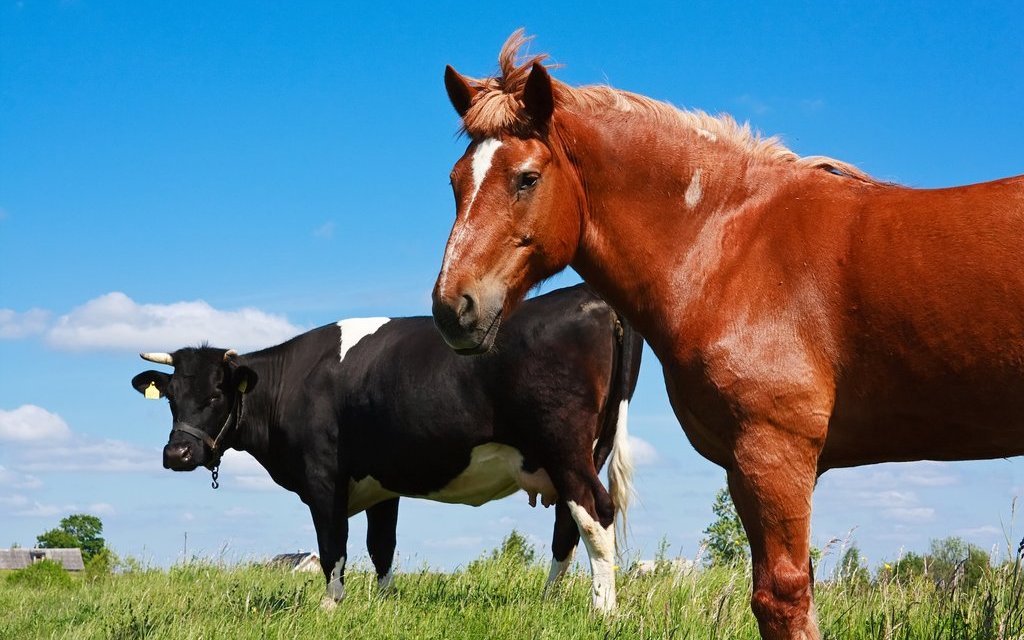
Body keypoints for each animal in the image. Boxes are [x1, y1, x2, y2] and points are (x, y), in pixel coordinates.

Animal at [131, 284, 642, 610]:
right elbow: (382, 546)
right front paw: (385, 603)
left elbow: (333, 544)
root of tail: (594, 298)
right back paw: (548, 602)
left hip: (565, 447)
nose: (177, 455)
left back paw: (602, 611)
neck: (292, 381)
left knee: (595, 513)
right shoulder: (382, 484)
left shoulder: (323, 480)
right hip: (584, 450)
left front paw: (331, 606)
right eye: (172, 397)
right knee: (568, 528)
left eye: (217, 395)